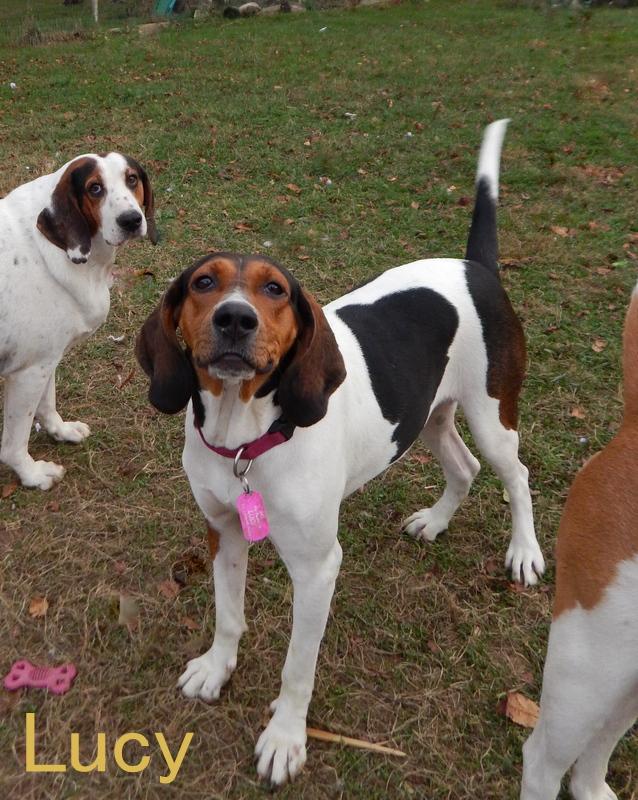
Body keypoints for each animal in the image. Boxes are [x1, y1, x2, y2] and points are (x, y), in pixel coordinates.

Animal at [0, 149, 158, 488]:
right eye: (94, 188)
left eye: (132, 179)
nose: (131, 220)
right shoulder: (27, 371)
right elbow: (14, 443)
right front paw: (31, 474)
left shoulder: (47, 360)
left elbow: (47, 404)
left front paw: (60, 431)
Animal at [138, 122, 548, 784]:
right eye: (203, 282)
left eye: (274, 290)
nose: (235, 319)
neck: (246, 439)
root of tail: (475, 267)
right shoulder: (222, 532)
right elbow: (228, 614)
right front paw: (216, 668)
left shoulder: (317, 569)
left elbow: (297, 668)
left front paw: (285, 738)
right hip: (426, 416)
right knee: (464, 467)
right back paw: (436, 521)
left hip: (492, 415)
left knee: (516, 475)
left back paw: (525, 553)